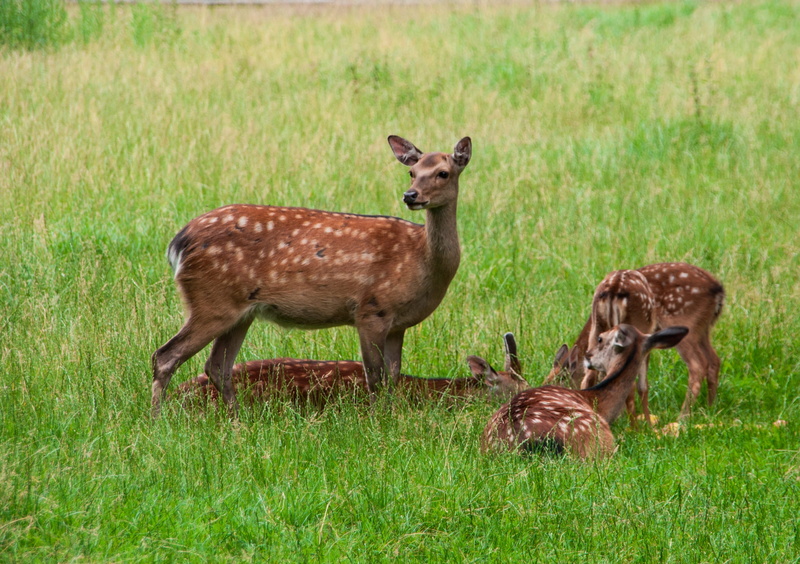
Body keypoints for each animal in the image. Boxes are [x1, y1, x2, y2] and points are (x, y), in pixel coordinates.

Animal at [150, 136, 471, 417]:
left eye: (443, 173)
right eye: (411, 172)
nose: (410, 195)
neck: (421, 260)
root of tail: (179, 242)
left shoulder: (397, 324)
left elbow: (392, 377)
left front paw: (391, 418)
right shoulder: (371, 310)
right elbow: (375, 378)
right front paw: (377, 421)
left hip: (240, 312)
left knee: (217, 366)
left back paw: (238, 420)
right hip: (212, 301)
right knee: (165, 356)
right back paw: (157, 420)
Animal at [544, 262, 725, 420]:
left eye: (560, 381)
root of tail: (718, 289)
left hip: (682, 322)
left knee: (698, 364)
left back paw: (683, 418)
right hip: (699, 328)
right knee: (712, 360)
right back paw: (709, 408)